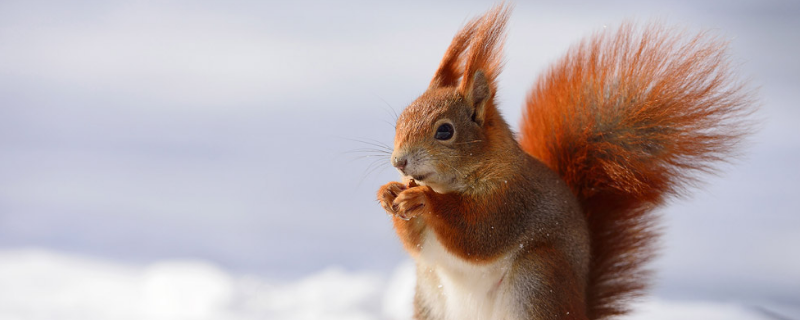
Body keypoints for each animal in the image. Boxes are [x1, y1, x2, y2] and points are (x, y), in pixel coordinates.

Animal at [376, 3, 752, 320]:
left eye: (445, 131)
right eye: (400, 120)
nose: (399, 162)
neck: (452, 184)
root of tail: (581, 309)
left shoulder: (512, 201)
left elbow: (478, 236)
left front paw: (423, 200)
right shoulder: (429, 254)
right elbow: (418, 245)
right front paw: (389, 193)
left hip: (539, 280)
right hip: (430, 296)